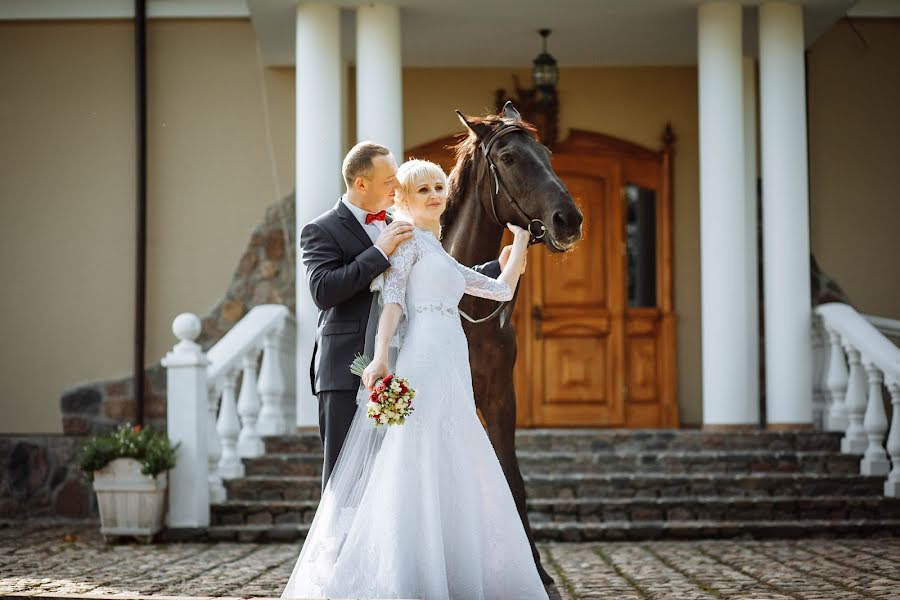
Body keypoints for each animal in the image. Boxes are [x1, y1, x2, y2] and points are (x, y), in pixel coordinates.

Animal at [442, 102, 584, 580]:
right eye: (508, 158)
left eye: (547, 153)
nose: (569, 219)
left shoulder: (501, 397)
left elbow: (511, 478)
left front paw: (536, 569)